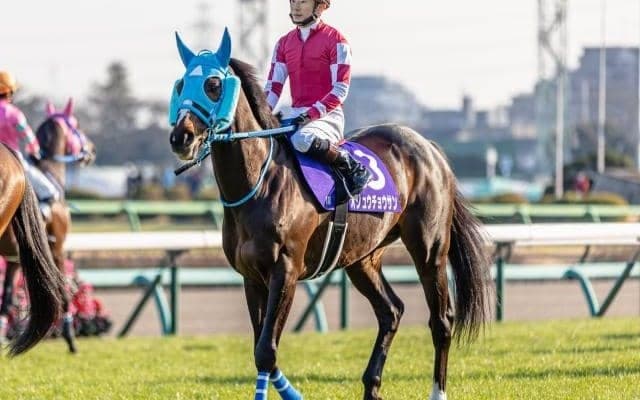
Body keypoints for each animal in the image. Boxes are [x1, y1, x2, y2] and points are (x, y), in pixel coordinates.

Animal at [0, 99, 95, 354]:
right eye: (76, 125)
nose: (91, 151)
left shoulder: (13, 258)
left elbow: (7, 301)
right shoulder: (57, 248)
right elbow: (63, 293)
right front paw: (71, 339)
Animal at [168, 30, 491, 400]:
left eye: (213, 84)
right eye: (181, 83)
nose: (181, 137)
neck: (261, 184)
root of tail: (428, 147)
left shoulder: (286, 270)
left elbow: (266, 351)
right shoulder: (251, 276)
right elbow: (261, 350)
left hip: (429, 249)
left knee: (441, 319)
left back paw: (437, 390)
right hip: (362, 258)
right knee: (391, 311)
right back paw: (371, 387)